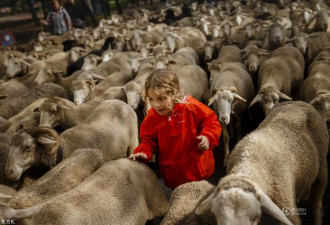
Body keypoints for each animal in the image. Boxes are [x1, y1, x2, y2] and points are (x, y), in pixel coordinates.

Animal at [5, 100, 139, 181]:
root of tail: (119, 101)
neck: (63, 147)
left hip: (133, 141)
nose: (9, 172)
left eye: (27, 146)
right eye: (10, 146)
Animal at [196, 101, 328, 225]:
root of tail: (298, 102)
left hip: (321, 169)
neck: (250, 164)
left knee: (318, 205)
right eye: (216, 215)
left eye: (255, 217)